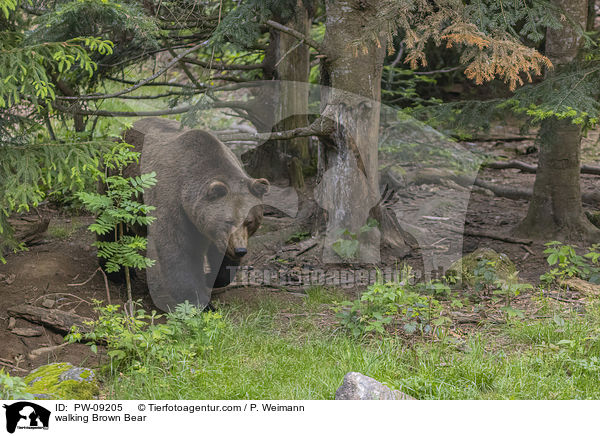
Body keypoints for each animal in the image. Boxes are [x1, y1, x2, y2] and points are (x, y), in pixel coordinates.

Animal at [120, 117, 268, 312]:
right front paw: (200, 301)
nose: (240, 250)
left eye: (249, 221)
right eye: (228, 221)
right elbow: (177, 251)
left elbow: (219, 259)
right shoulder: (171, 202)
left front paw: (212, 278)